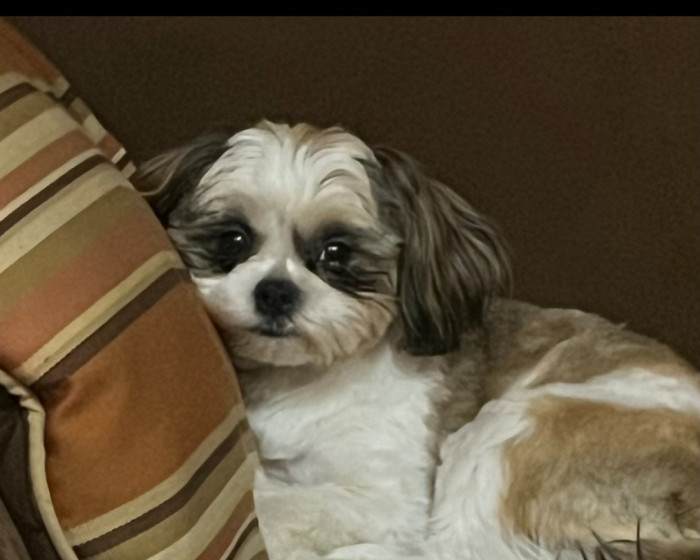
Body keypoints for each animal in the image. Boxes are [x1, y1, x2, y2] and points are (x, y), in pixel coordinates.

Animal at [135, 120, 700, 560]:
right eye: (232, 239)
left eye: (336, 252)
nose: (275, 290)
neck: (303, 377)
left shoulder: (389, 498)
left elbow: (277, 505)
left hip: (514, 426)